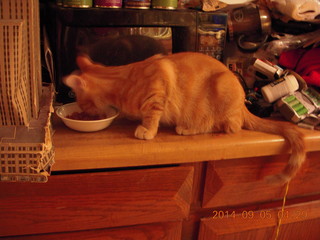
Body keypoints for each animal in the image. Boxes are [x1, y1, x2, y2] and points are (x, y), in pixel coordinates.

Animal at [63, 51, 306, 185]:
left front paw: (146, 130)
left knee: (228, 127)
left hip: (221, 89)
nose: (84, 112)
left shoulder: (157, 96)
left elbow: (151, 118)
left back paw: (188, 128)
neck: (122, 80)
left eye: (80, 101)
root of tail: (243, 105)